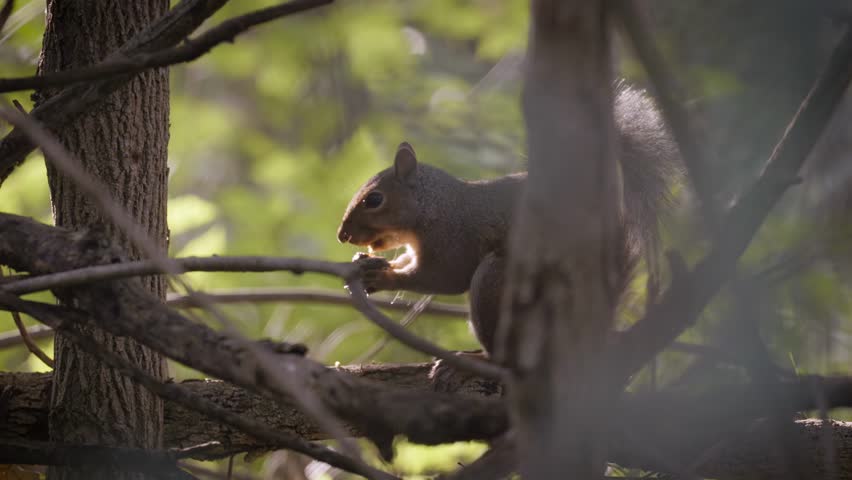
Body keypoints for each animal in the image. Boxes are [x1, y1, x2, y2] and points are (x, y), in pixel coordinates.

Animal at [337, 83, 680, 359]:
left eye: (374, 200)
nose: (342, 236)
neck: (434, 207)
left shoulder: (453, 241)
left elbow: (442, 277)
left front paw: (384, 278)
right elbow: (407, 260)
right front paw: (367, 263)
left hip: (499, 285)